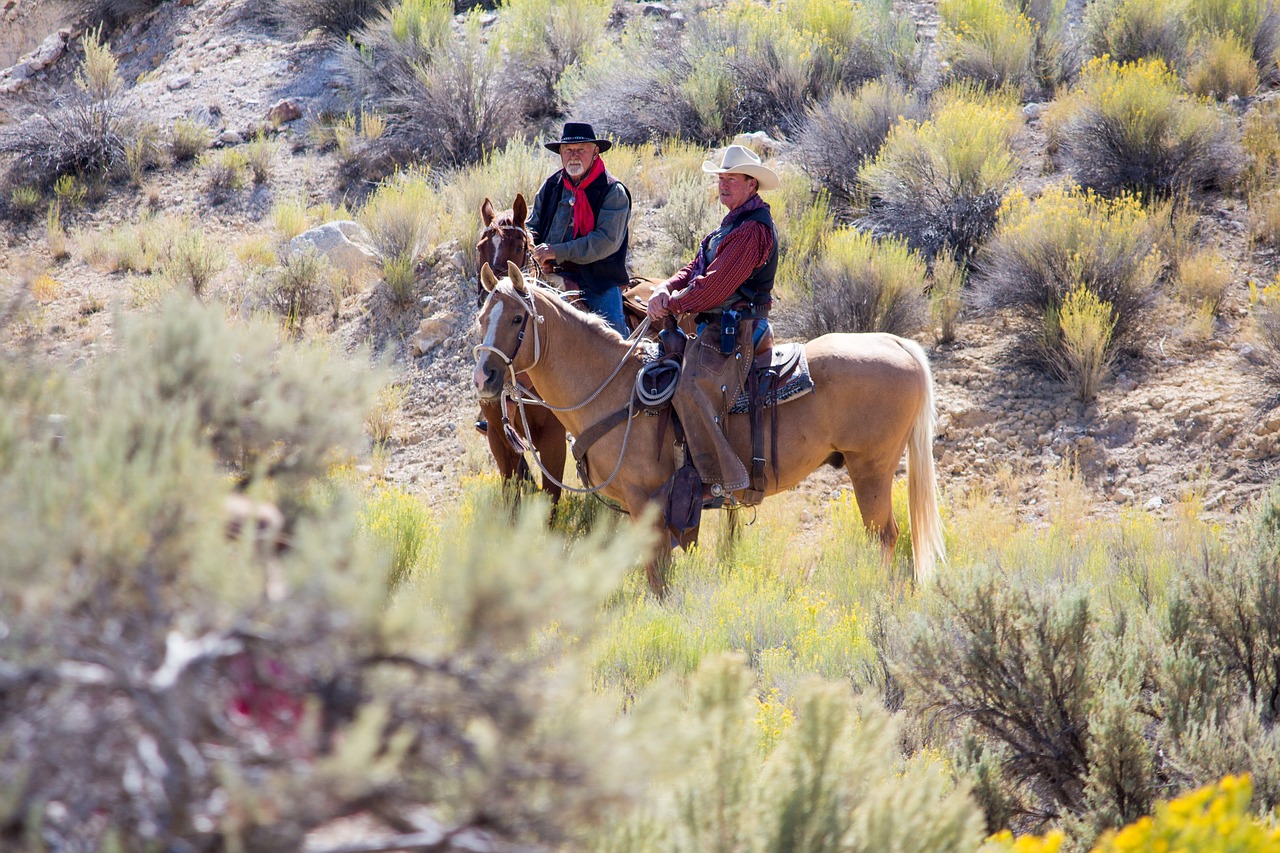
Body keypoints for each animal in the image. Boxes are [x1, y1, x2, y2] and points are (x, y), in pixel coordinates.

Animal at [476, 262, 947, 594]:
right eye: (482, 317)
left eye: (517, 319)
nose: (484, 377)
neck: (613, 388)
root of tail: (894, 342)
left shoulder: (648, 502)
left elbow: (658, 579)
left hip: (870, 468)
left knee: (885, 536)